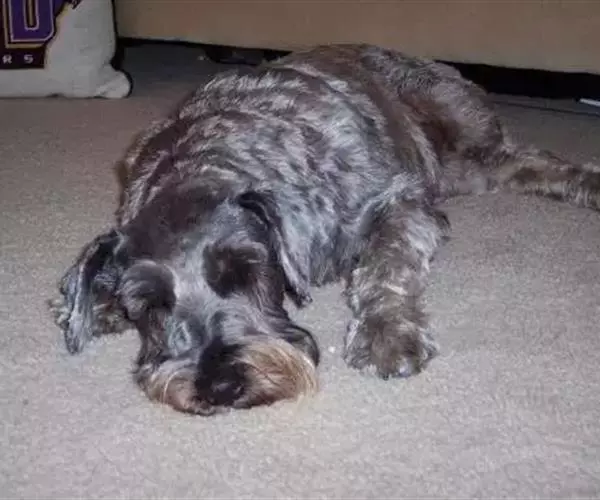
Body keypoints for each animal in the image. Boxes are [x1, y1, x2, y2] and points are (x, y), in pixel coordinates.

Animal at [49, 44, 600, 415]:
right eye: (150, 305)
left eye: (246, 270)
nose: (221, 386)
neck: (206, 161)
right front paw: (93, 306)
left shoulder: (398, 203)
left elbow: (385, 264)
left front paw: (385, 332)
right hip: (465, 171)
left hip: (464, 132)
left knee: (532, 159)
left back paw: (588, 181)